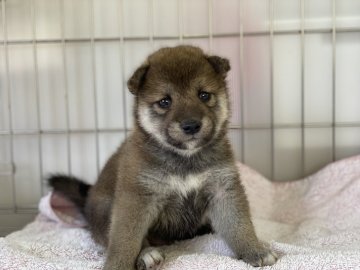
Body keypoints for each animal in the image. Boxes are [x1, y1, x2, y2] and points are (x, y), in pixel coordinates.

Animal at [49, 45, 278, 268]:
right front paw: (119, 264)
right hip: (105, 209)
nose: (191, 125)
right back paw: (147, 254)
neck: (185, 159)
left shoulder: (222, 189)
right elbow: (124, 240)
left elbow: (239, 226)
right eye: (165, 101)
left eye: (204, 95)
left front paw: (254, 251)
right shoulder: (137, 197)